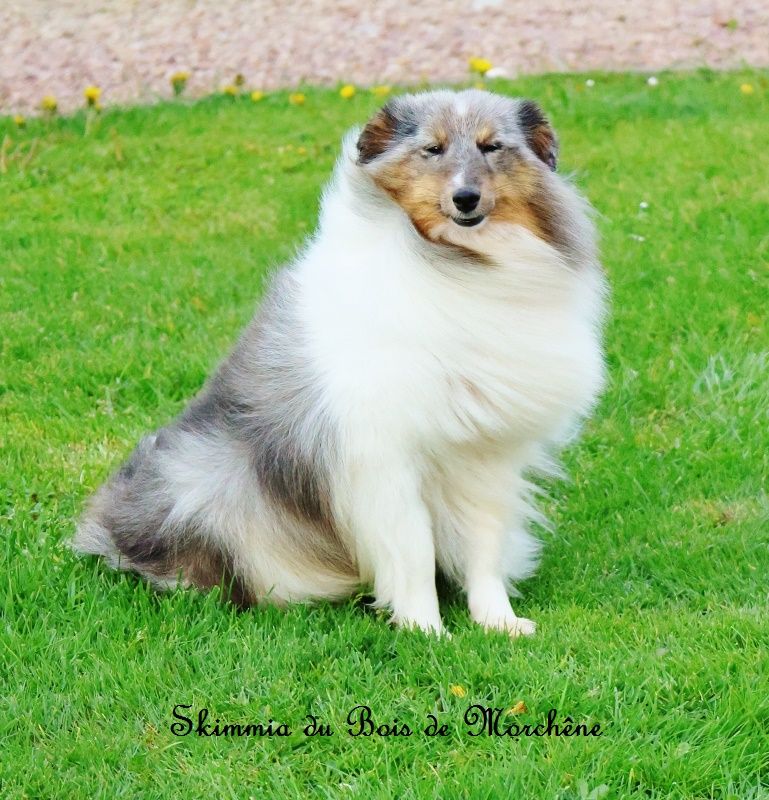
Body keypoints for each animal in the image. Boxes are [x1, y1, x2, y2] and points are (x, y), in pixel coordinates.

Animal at [76, 87, 608, 636]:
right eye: (432, 149)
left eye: (492, 146)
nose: (465, 199)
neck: (458, 261)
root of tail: (101, 528)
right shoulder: (384, 456)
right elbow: (413, 551)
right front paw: (427, 631)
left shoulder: (487, 455)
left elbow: (485, 546)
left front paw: (498, 623)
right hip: (203, 483)